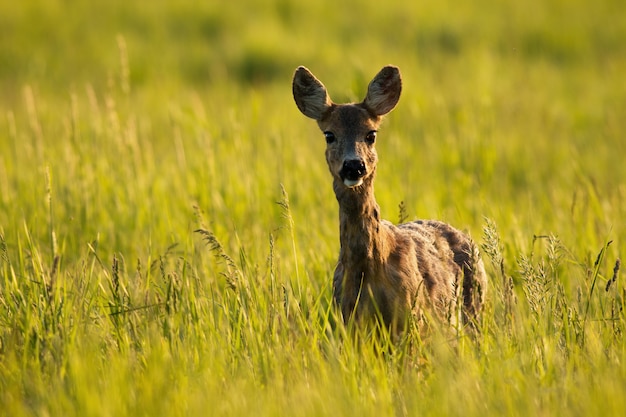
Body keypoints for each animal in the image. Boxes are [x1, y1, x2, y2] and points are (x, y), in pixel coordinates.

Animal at [292, 66, 488, 334]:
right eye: (329, 135)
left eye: (371, 134)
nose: (353, 166)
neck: (370, 269)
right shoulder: (348, 319)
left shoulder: (413, 316)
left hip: (474, 308)